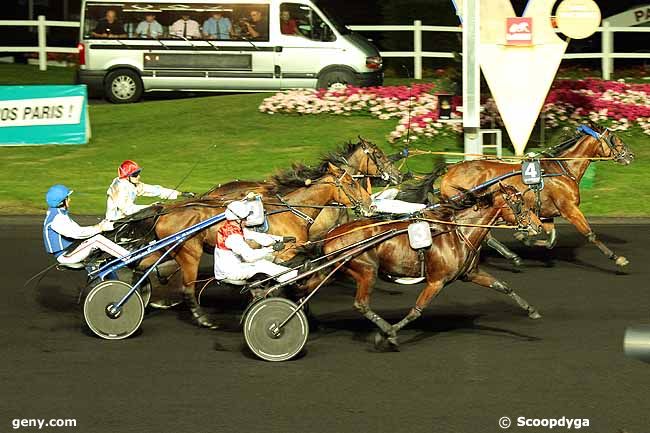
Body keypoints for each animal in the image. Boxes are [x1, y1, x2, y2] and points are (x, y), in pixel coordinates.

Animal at [131, 162, 370, 328]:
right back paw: (204, 319)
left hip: (165, 249)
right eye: (351, 183)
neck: (292, 211)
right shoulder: (285, 253)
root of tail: (166, 210)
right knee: (187, 289)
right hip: (189, 252)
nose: (369, 203)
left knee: (140, 267)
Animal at [308, 182, 540, 348]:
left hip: (336, 271)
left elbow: (504, 286)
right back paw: (386, 329)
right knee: (361, 304)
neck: (458, 234)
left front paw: (531, 310)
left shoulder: (471, 273)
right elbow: (416, 310)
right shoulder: (436, 281)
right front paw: (390, 334)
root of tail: (331, 235)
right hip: (366, 270)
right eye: (519, 204)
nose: (538, 226)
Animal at [436, 123, 632, 268]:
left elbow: (551, 239)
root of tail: (450, 170)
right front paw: (616, 258)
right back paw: (510, 255)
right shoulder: (569, 209)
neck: (562, 169)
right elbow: (590, 234)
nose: (630, 155)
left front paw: (524, 238)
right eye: (614, 138)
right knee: (484, 234)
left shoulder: (547, 213)